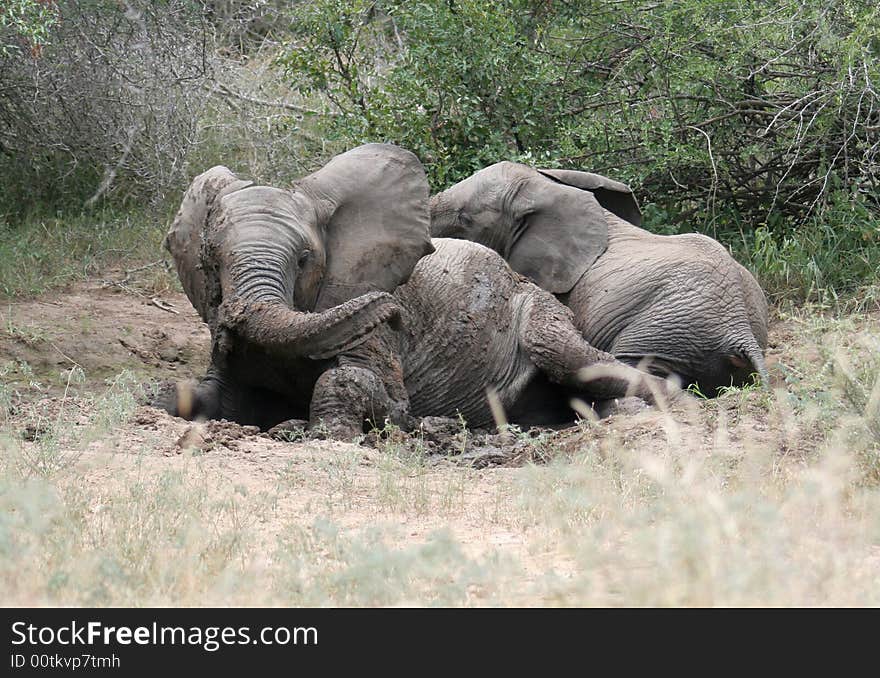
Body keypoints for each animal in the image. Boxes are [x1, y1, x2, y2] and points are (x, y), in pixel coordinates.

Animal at [158, 145, 672, 438]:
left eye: (305, 259)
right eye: (208, 261)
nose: (393, 312)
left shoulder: (370, 327)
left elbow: (359, 381)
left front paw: (325, 429)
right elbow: (192, 395)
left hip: (541, 310)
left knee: (568, 357)